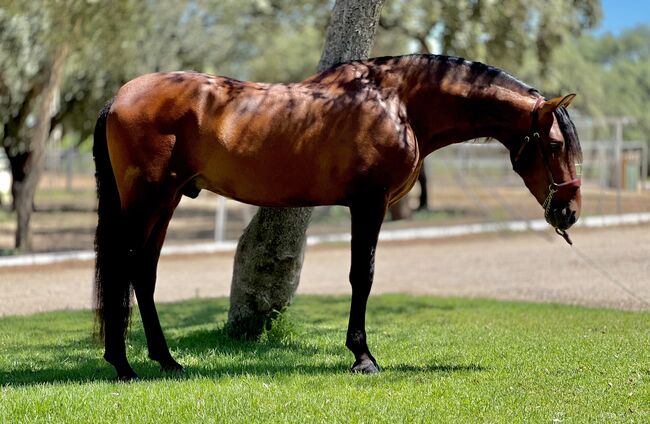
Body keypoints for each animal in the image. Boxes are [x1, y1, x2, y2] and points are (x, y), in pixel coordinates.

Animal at [92, 53, 584, 380]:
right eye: (554, 145)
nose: (570, 212)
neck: (399, 102)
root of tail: (118, 97)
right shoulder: (369, 204)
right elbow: (361, 276)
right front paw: (363, 357)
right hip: (147, 198)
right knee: (123, 266)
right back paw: (123, 364)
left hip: (169, 199)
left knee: (144, 271)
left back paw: (166, 360)